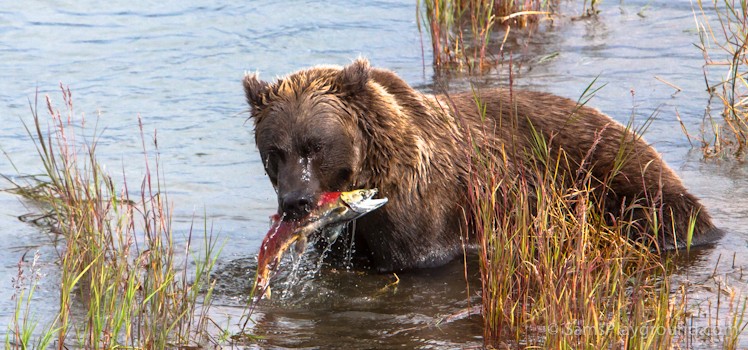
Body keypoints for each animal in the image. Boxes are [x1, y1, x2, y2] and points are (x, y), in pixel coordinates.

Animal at [245, 58, 724, 272]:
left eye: (315, 145)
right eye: (275, 152)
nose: (295, 202)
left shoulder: (426, 209)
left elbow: (416, 256)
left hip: (615, 177)